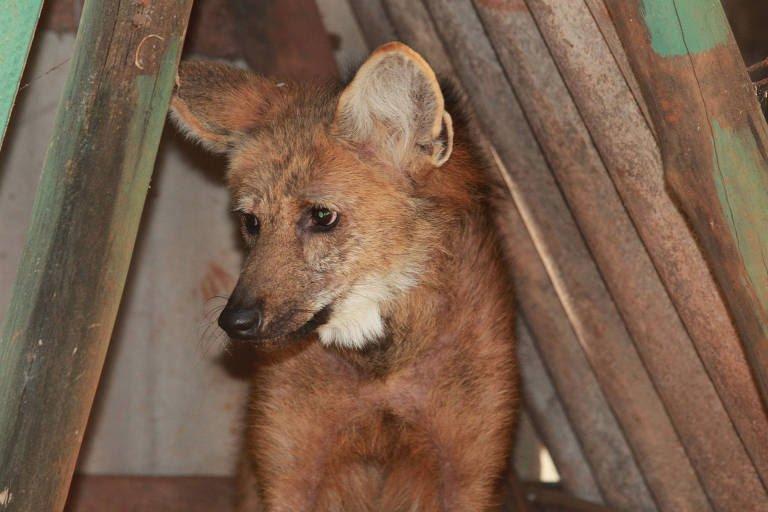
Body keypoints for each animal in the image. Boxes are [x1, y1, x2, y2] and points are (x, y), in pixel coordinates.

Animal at [171, 42, 520, 510]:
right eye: (252, 223)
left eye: (322, 216)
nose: (235, 321)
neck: (381, 365)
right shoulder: (291, 472)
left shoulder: (466, 475)